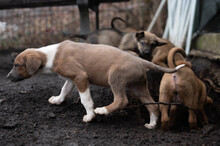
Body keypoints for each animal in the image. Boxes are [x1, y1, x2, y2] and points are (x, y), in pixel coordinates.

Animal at [6, 40, 185, 129]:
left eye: (16, 65)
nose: (7, 78)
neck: (50, 55)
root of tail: (141, 61)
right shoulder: (71, 79)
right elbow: (64, 90)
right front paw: (57, 100)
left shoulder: (80, 77)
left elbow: (86, 100)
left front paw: (90, 115)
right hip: (138, 87)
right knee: (153, 105)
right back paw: (152, 124)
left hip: (115, 76)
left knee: (121, 100)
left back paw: (102, 110)